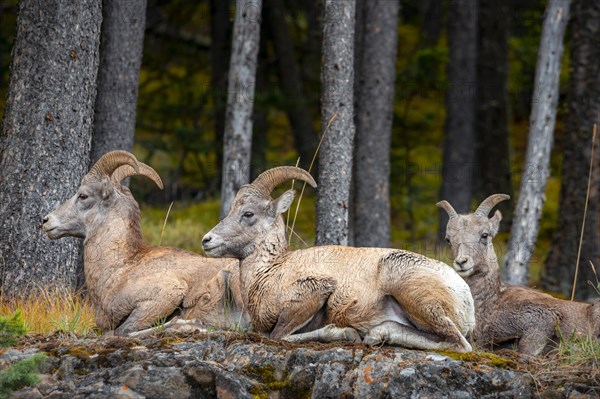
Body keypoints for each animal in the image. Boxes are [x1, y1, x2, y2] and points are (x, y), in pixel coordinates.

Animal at [42, 152, 248, 336]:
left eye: (83, 196)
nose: (46, 221)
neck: (119, 269)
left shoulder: (165, 295)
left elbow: (124, 331)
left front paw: (189, 326)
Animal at [204, 167, 476, 352]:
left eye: (248, 214)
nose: (207, 240)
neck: (269, 272)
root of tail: (464, 295)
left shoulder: (315, 291)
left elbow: (278, 335)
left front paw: (343, 333)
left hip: (414, 295)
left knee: (458, 343)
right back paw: (376, 334)